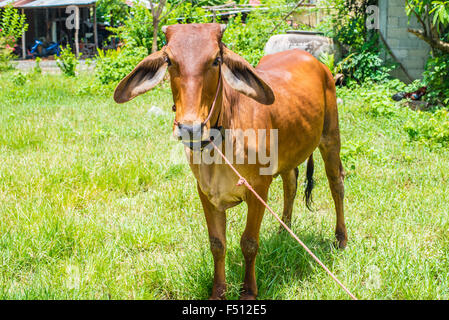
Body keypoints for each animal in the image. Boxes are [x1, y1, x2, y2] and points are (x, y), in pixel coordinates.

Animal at [113, 23, 346, 300]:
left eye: (216, 60)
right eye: (169, 60)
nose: (190, 128)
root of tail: (312, 60)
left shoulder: (258, 189)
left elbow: (249, 243)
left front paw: (248, 291)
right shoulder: (205, 193)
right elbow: (217, 244)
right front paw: (218, 292)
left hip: (330, 138)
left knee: (336, 184)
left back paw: (340, 239)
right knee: (291, 183)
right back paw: (284, 231)